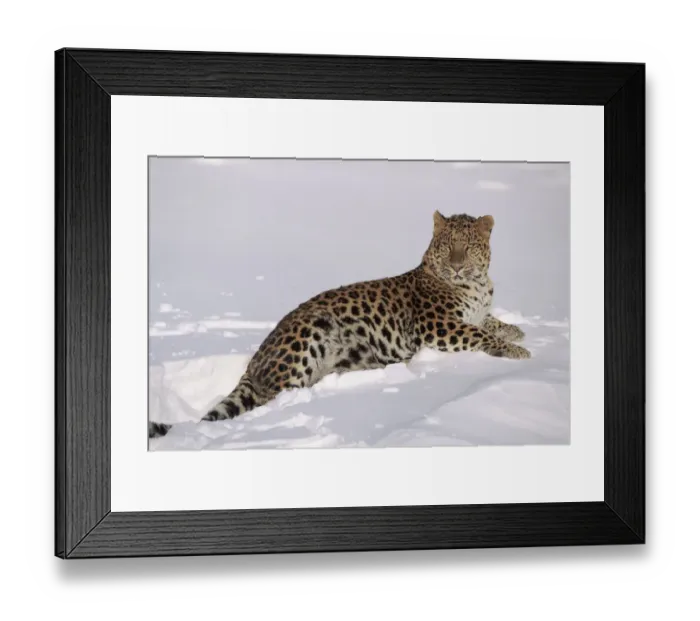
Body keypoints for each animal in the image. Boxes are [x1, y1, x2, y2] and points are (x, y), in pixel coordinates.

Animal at [149, 211, 529, 439]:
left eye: (469, 246)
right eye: (447, 245)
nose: (458, 266)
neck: (476, 285)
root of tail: (255, 360)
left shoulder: (475, 313)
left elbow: (490, 322)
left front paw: (517, 331)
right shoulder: (439, 326)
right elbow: (478, 333)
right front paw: (519, 352)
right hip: (307, 338)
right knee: (269, 398)